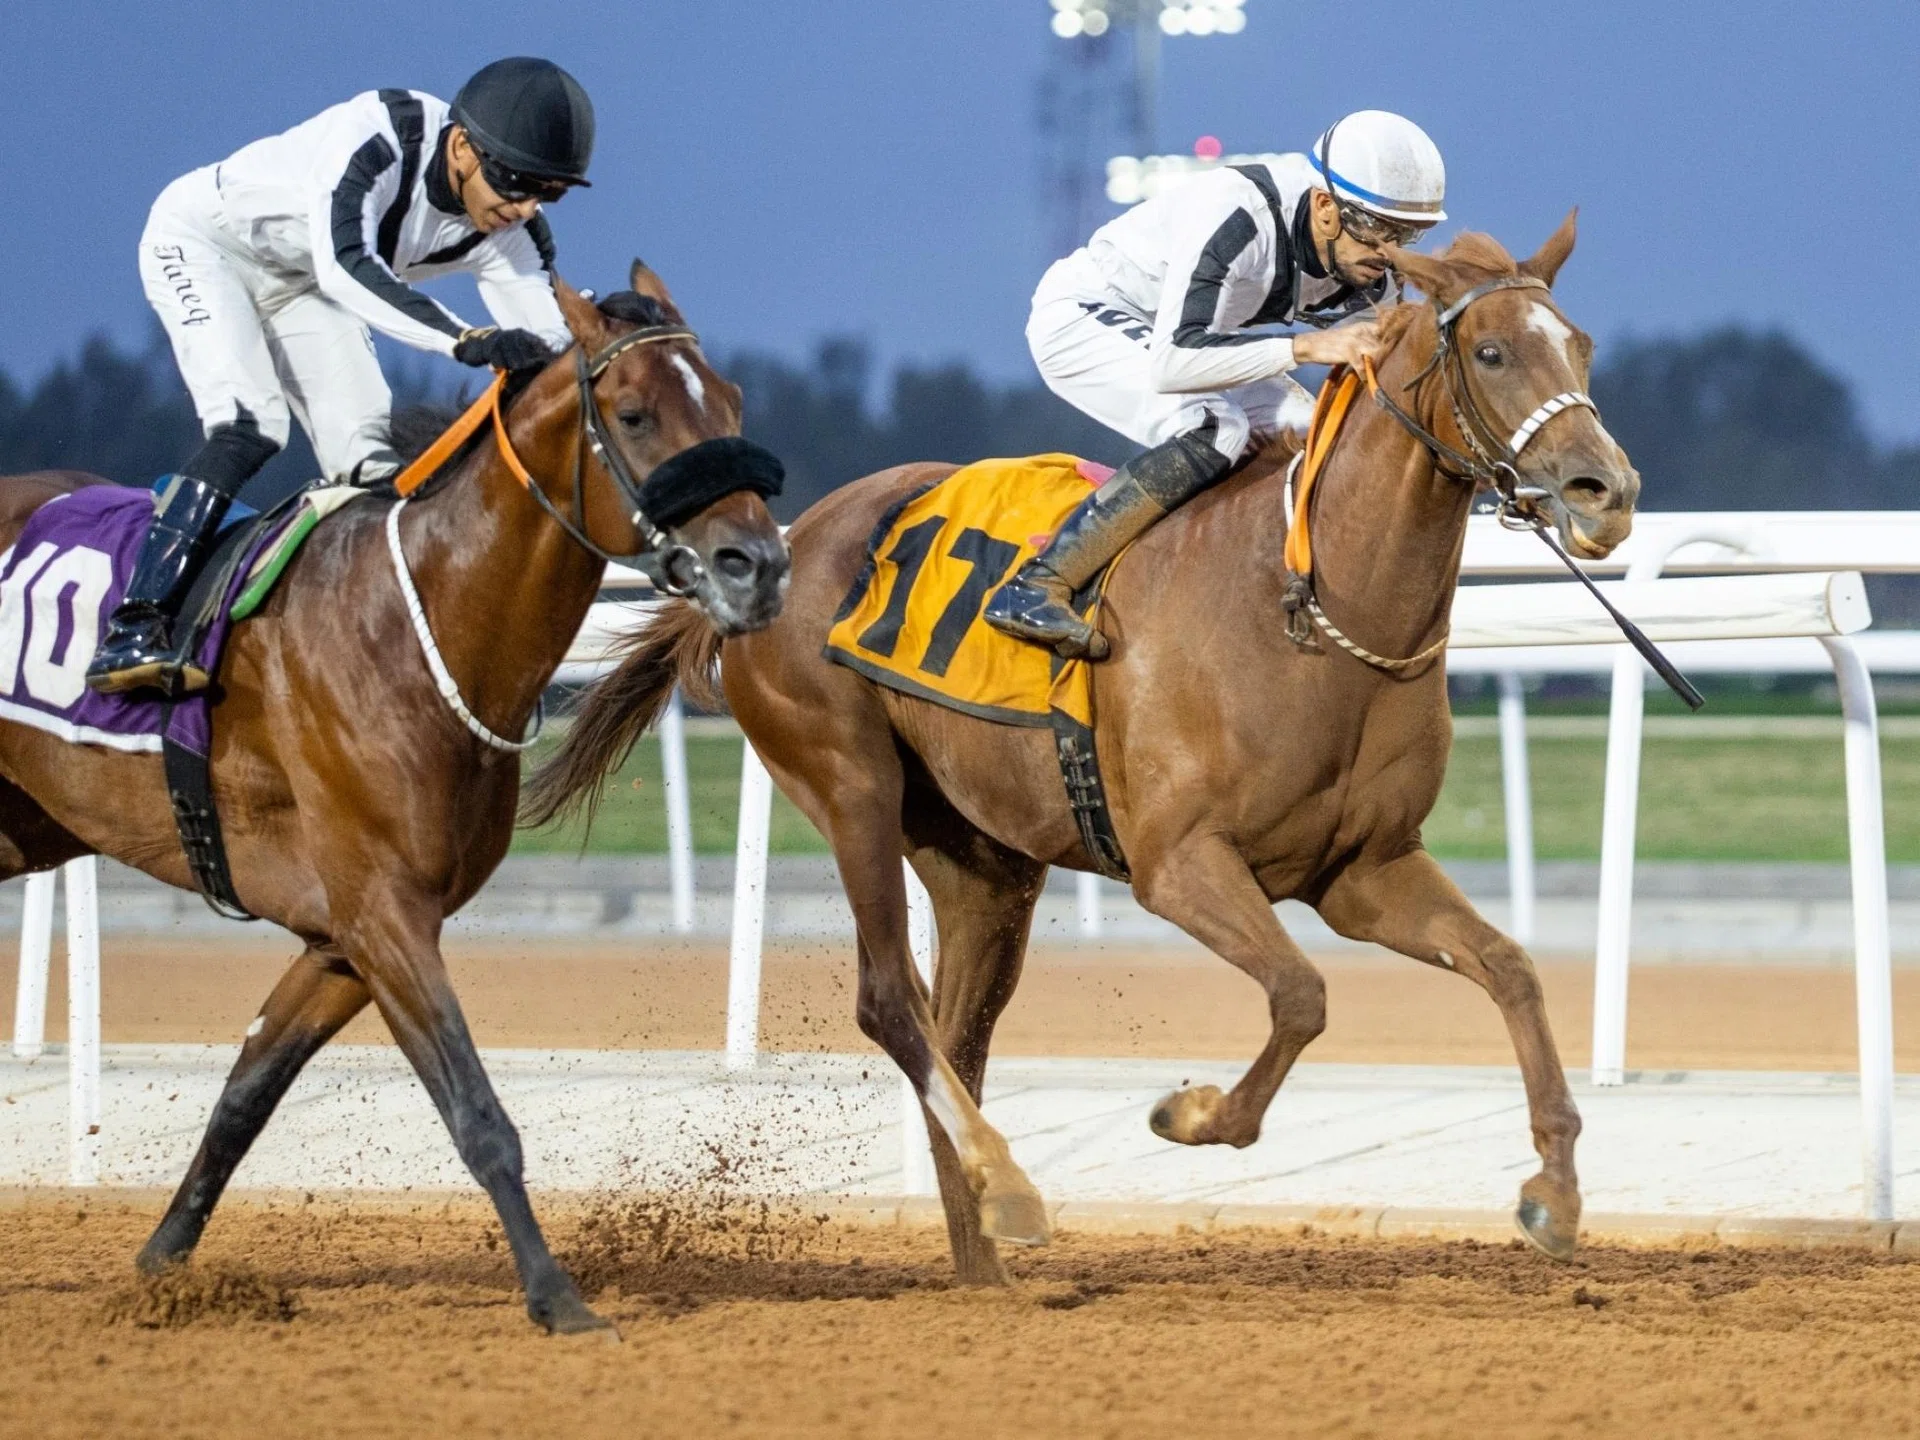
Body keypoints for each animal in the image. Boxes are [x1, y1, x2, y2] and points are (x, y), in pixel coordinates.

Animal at [0, 263, 788, 1334]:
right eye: (634, 414)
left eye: (735, 404)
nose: (762, 567)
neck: (420, 627)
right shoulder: (385, 913)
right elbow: (478, 1113)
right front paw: (558, 1298)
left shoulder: (341, 937)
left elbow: (246, 1094)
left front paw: (163, 1270)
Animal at [527, 218, 1637, 1284]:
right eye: (1491, 351)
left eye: (1581, 345)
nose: (1607, 490)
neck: (1314, 612)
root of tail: (779, 549)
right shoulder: (1178, 864)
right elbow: (1300, 995)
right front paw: (1192, 1113)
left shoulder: (1362, 870)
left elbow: (1508, 969)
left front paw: (1555, 1190)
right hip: (849, 782)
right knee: (893, 1003)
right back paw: (1008, 1202)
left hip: (983, 862)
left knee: (958, 1036)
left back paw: (985, 1244)